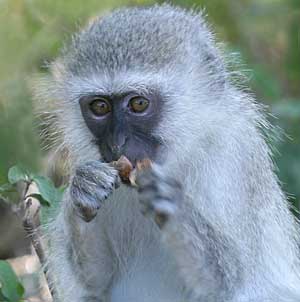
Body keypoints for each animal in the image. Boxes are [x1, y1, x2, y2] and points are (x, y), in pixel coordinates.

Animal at [41, 4, 300, 302]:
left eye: (138, 104)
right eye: (100, 107)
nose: (117, 143)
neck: (176, 159)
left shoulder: (232, 153)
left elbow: (233, 278)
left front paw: (174, 205)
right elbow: (96, 280)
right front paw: (85, 190)